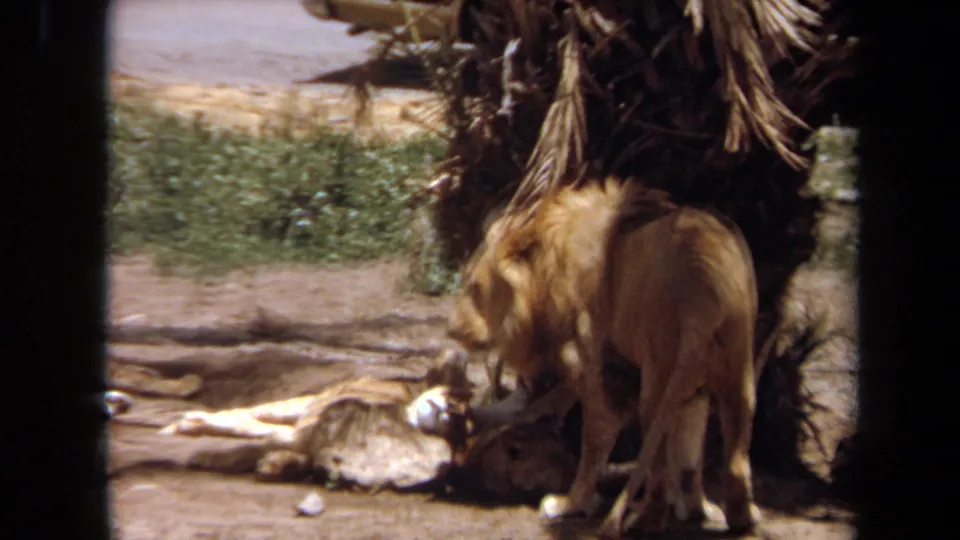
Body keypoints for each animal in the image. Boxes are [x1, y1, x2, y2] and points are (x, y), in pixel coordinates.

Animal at [446, 176, 763, 538]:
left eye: (474, 287)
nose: (451, 328)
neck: (547, 270)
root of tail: (707, 285)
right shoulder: (694, 390)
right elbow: (689, 451)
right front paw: (696, 508)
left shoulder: (592, 364)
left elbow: (595, 439)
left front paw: (571, 503)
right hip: (738, 370)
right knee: (735, 453)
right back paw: (741, 517)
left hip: (659, 367)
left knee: (655, 449)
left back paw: (646, 518)